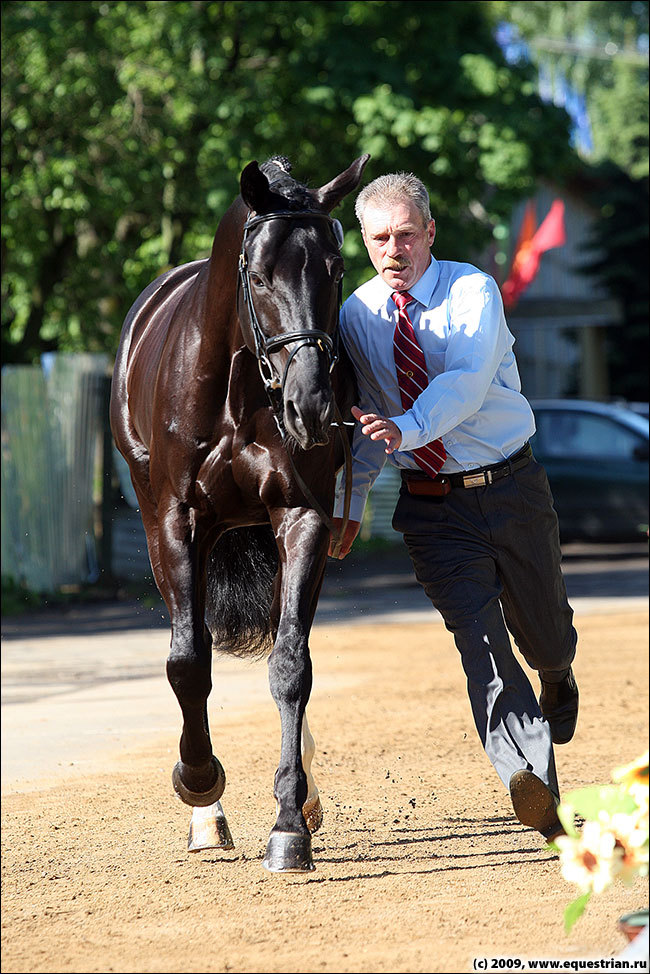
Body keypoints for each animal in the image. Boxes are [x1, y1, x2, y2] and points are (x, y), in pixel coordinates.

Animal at [111, 154, 370, 876]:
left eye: (336, 267)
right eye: (258, 275)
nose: (312, 405)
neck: (238, 393)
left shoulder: (302, 519)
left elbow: (291, 665)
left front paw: (289, 823)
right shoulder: (176, 524)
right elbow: (187, 661)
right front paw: (199, 783)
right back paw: (207, 814)